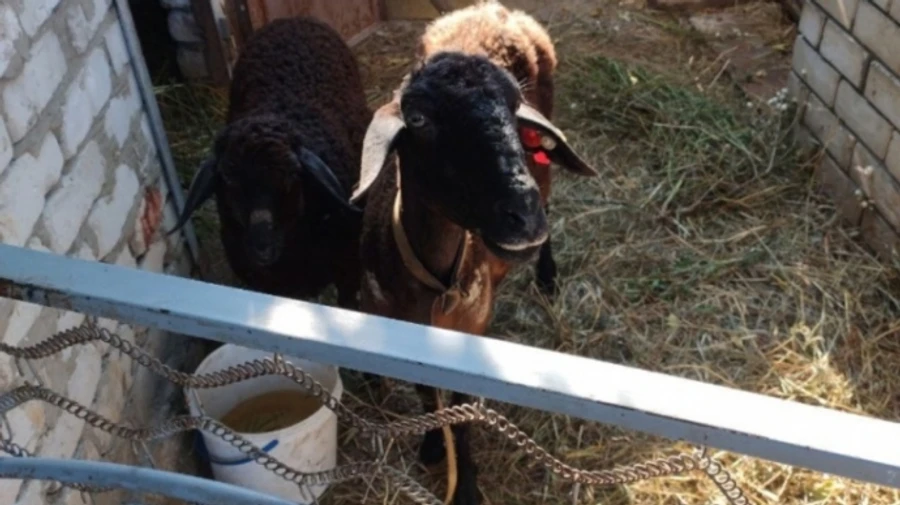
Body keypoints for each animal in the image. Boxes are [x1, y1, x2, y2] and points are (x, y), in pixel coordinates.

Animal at [352, 51, 598, 505]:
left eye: (515, 105)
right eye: (418, 119)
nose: (523, 216)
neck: (437, 286)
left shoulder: (471, 332)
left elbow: (462, 410)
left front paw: (464, 484)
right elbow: (427, 395)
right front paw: (433, 445)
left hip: (544, 178)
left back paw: (548, 276)